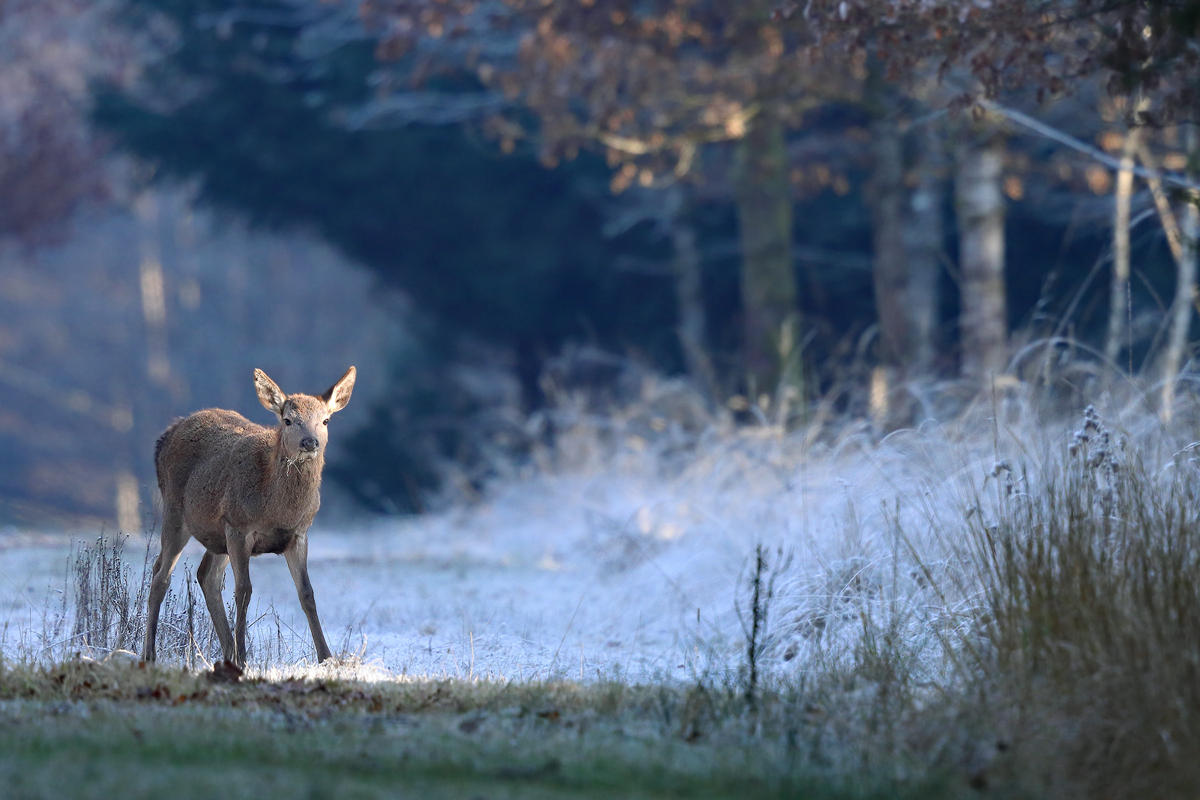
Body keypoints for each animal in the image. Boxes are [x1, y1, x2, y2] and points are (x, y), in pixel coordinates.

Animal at [141, 367, 355, 671]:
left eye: (325, 420)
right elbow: (244, 591)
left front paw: (326, 657)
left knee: (204, 575)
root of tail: (165, 437)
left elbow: (307, 593)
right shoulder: (240, 527)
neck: (278, 510)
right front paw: (243, 658)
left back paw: (226, 652)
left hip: (217, 534)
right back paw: (150, 654)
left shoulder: (298, 534)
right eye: (288, 420)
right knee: (161, 577)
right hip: (175, 511)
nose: (310, 442)